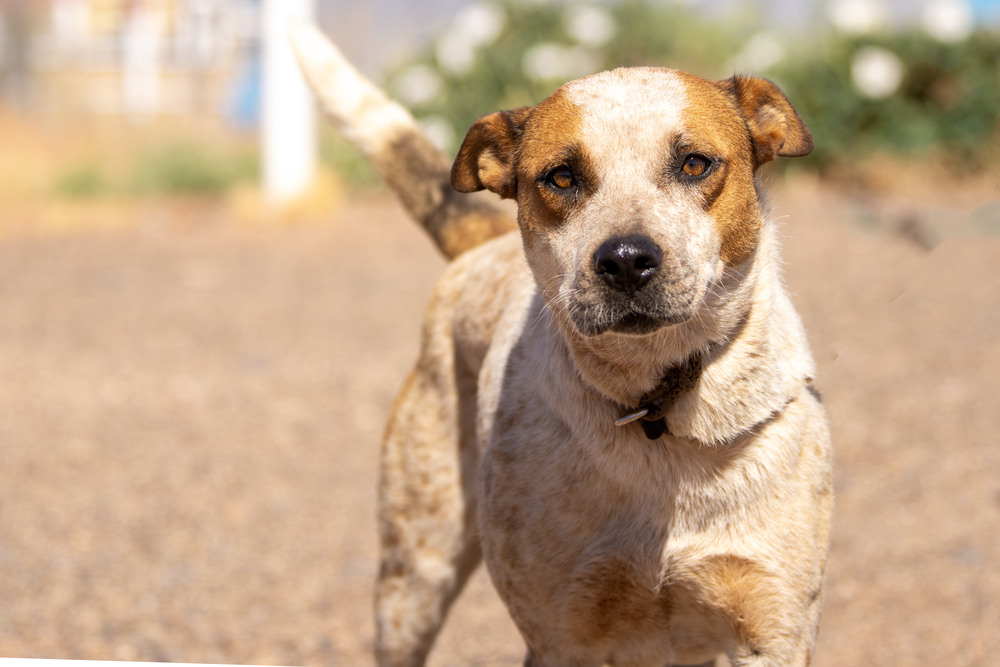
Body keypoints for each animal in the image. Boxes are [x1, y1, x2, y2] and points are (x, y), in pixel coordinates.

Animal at [292, 23, 832, 667]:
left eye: (695, 163)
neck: (657, 410)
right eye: (562, 177)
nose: (625, 260)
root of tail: (483, 245)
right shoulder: (561, 633)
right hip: (413, 580)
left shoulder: (770, 628)